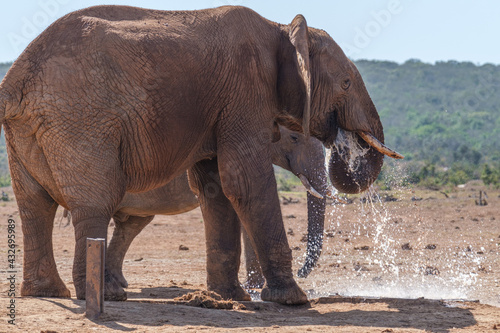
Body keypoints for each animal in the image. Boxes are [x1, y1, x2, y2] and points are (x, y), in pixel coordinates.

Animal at [103, 126, 330, 300]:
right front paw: (251, 286)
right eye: (294, 138)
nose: (301, 272)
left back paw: (118, 282)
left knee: (132, 225)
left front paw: (252, 286)